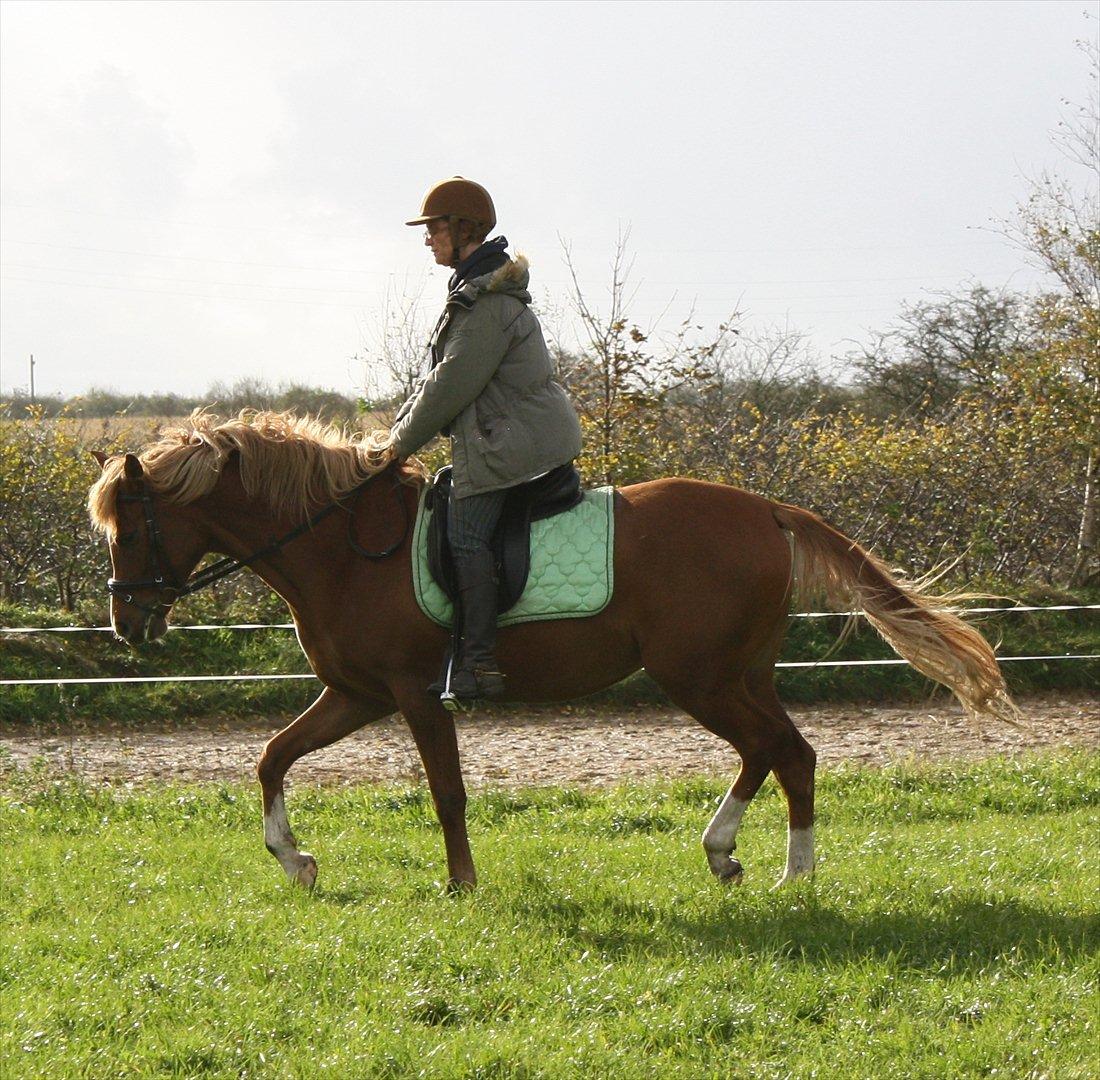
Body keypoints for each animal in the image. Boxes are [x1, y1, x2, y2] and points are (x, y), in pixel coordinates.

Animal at [90, 409, 1016, 893]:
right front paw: (296, 861)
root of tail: (765, 508)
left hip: (700, 677)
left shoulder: (414, 694)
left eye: (130, 529)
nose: (126, 624)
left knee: (781, 750)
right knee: (782, 752)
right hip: (735, 674)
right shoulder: (358, 694)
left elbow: (448, 793)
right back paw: (733, 855)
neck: (341, 547)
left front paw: (460, 886)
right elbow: (272, 758)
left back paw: (789, 875)